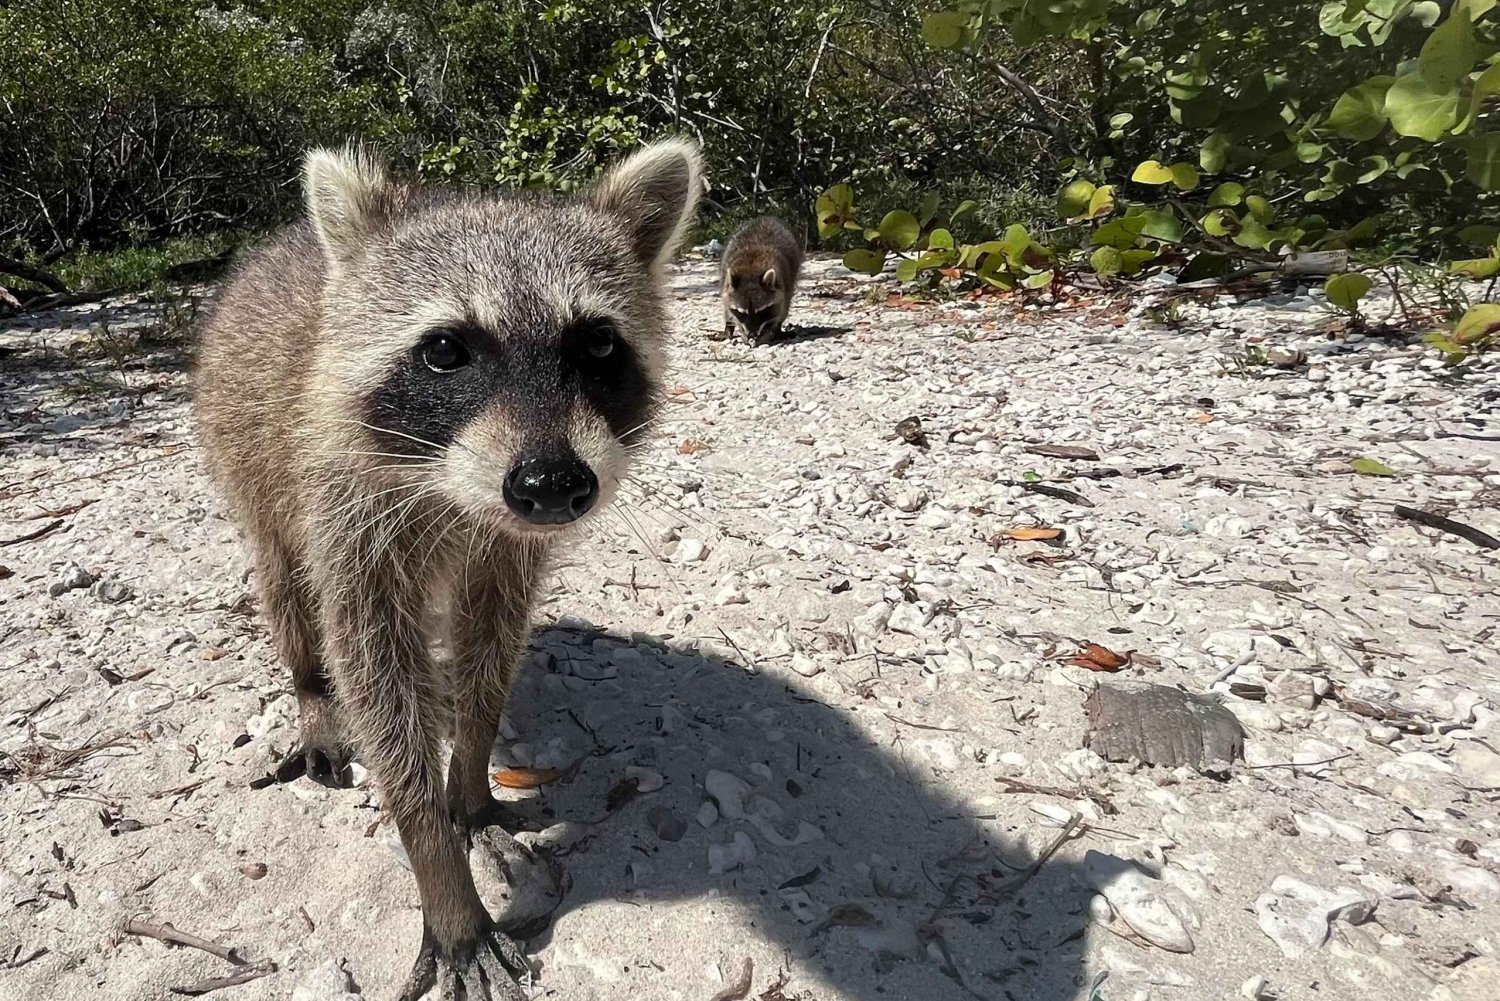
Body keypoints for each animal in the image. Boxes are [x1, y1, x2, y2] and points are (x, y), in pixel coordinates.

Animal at [190, 135, 699, 1001]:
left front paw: (470, 775)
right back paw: (311, 691)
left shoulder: (507, 544)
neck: (451, 489)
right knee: (288, 588)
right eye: (443, 350)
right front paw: (437, 860)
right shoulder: (348, 515)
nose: (552, 484)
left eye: (597, 343)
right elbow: (376, 677)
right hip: (246, 454)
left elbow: (490, 641)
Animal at [720, 216, 804, 345]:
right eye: (742, 313)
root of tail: (767, 218)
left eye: (761, 311)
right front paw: (733, 327)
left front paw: (770, 330)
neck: (751, 270)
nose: (752, 334)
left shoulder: (784, 283)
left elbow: (780, 309)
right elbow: (728, 307)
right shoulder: (726, 284)